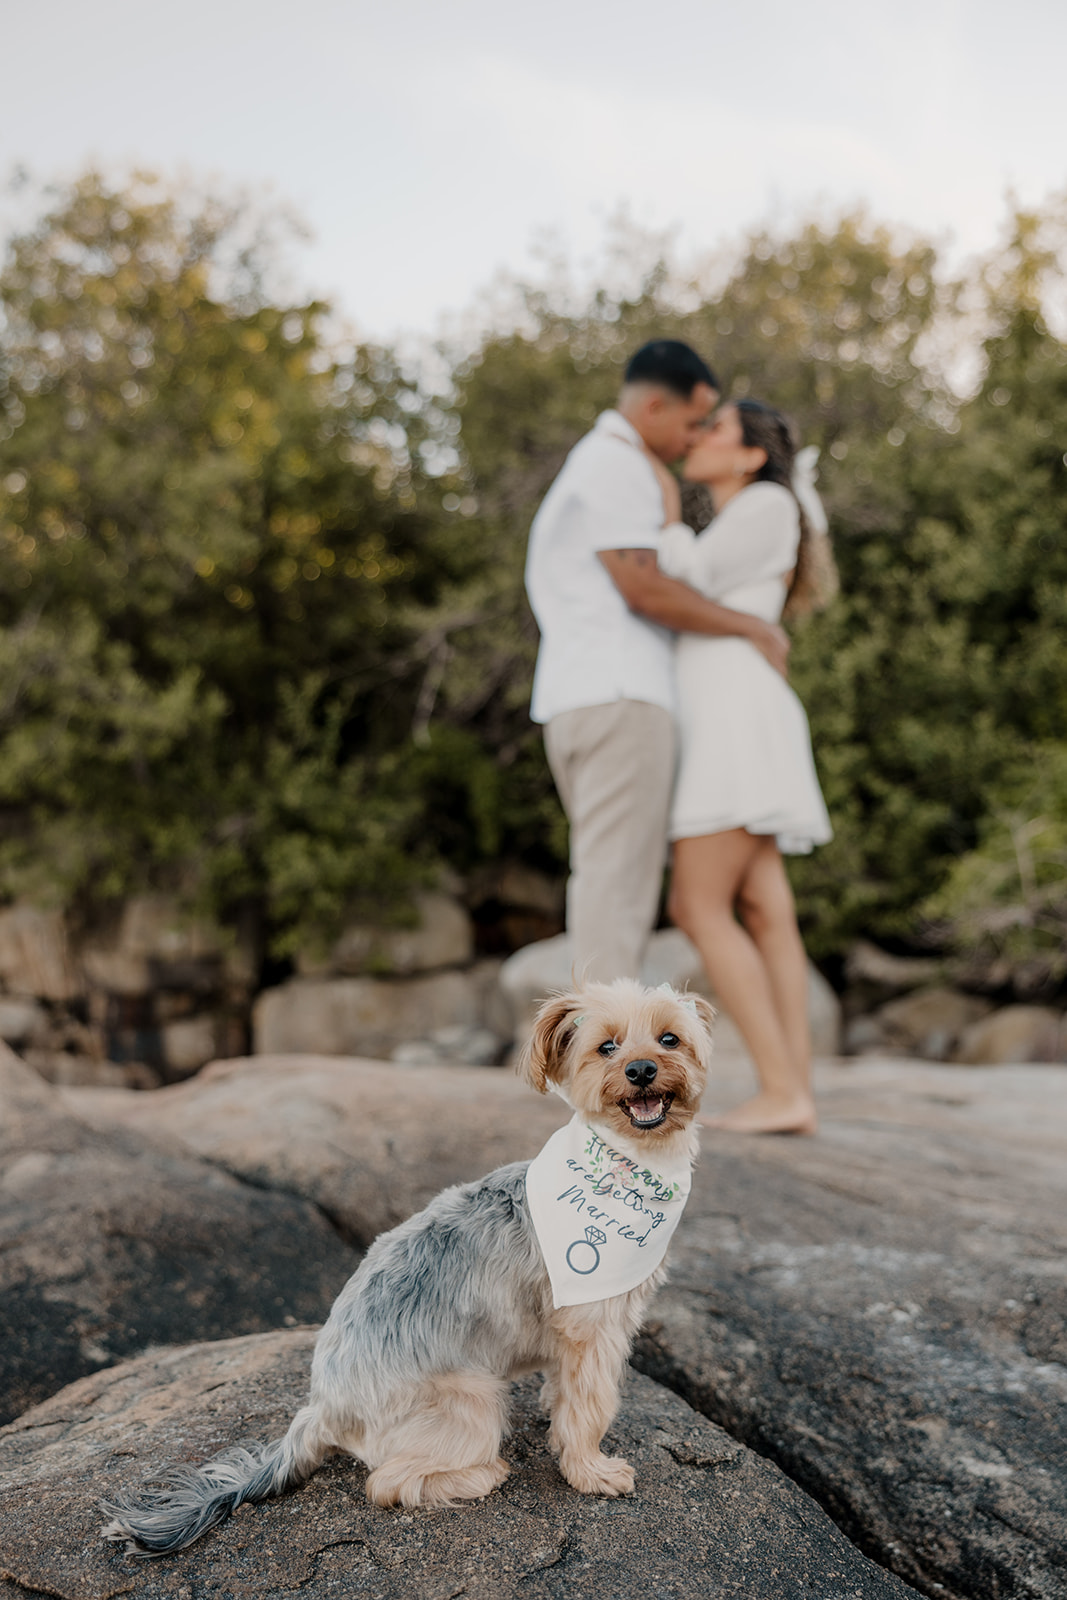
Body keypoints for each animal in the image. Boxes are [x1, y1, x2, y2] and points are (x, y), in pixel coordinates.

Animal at [102, 979, 710, 1555]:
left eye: (669, 1039)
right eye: (606, 1047)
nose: (640, 1069)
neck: (626, 1168)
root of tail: (322, 1407)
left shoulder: (572, 1335)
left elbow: (565, 1392)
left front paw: (559, 1424)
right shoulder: (594, 1326)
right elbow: (590, 1407)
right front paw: (590, 1470)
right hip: (472, 1399)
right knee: (386, 1484)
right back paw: (480, 1475)